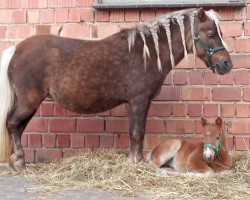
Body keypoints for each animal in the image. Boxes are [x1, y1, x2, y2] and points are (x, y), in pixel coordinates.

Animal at [0, 7, 232, 170]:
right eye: (210, 34)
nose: (226, 64)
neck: (147, 53)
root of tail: (16, 49)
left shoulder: (144, 101)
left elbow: (139, 132)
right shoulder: (138, 100)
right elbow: (136, 132)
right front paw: (134, 162)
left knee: (17, 127)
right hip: (29, 101)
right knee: (12, 124)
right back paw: (19, 162)